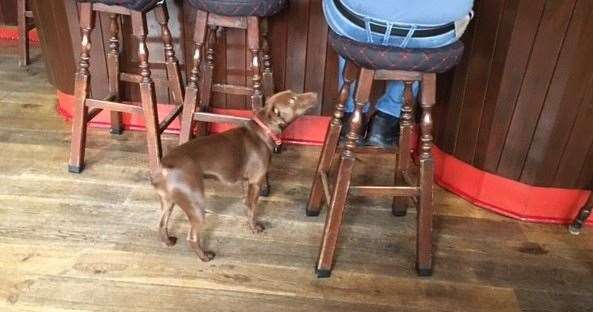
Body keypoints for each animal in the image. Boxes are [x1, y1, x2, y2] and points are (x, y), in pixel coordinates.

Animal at [153, 90, 320, 260]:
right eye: (293, 99)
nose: (315, 93)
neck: (263, 130)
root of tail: (163, 166)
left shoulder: (246, 182)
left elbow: (246, 205)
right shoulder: (256, 182)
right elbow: (252, 208)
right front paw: (254, 228)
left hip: (168, 201)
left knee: (161, 224)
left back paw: (168, 241)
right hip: (195, 204)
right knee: (192, 237)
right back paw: (205, 256)